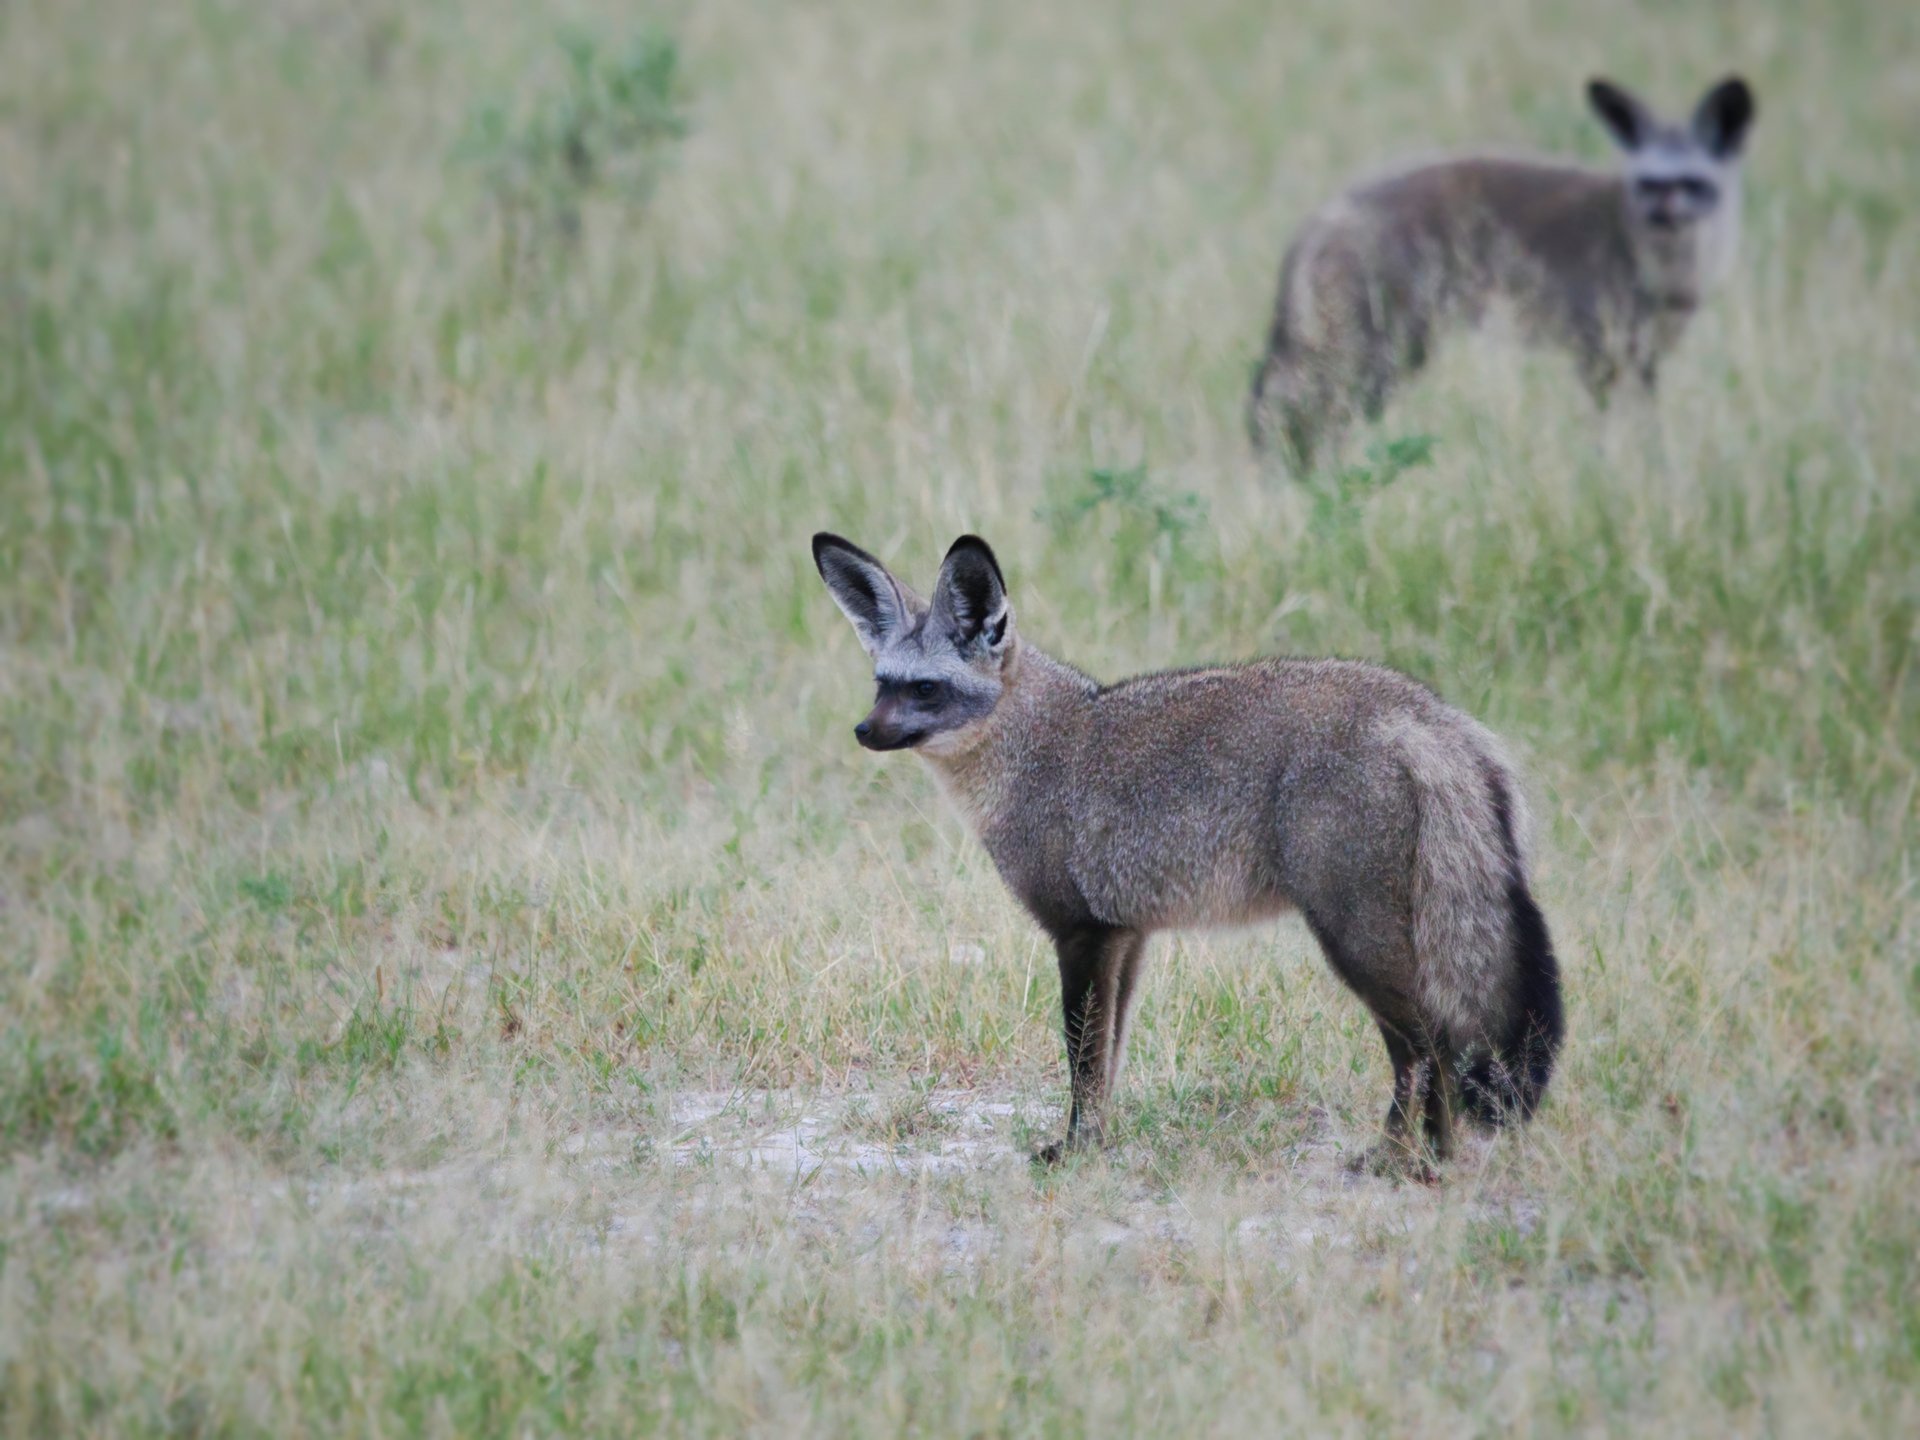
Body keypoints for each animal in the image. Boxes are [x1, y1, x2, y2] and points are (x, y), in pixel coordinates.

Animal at [806, 537, 1559, 1175]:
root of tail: (1426, 713)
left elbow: (1081, 1058)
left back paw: (1413, 1162)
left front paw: (1073, 1153)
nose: (863, 731)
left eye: (925, 689)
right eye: (881, 683)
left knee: (1428, 1045)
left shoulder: (1080, 933)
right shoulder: (1126, 937)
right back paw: (1423, 1157)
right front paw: (1096, 1144)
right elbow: (1106, 1060)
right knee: (1431, 1049)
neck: (1036, 751)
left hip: (1356, 942)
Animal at [1244, 76, 1758, 470]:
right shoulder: (1597, 347)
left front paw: (1653, 468)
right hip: (1379, 348)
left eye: (1692, 183)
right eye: (1651, 183)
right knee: (1294, 410)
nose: (1663, 214)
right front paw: (1611, 472)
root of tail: (1322, 215)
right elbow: (1606, 424)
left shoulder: (1644, 354)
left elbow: (1648, 424)